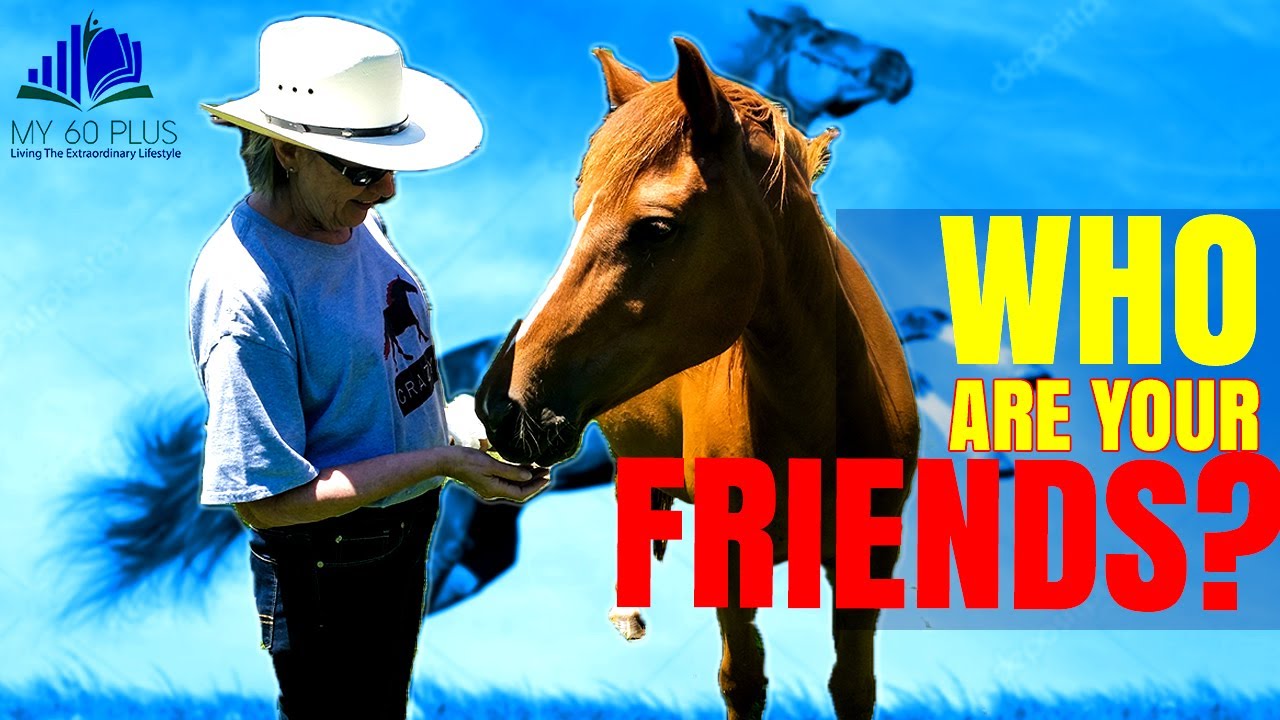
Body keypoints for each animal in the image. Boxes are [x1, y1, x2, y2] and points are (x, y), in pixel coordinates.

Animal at [475, 39, 919, 720]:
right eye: (577, 215)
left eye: (657, 228)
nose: (501, 406)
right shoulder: (730, 567)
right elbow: (743, 680)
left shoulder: (867, 561)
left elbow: (852, 684)